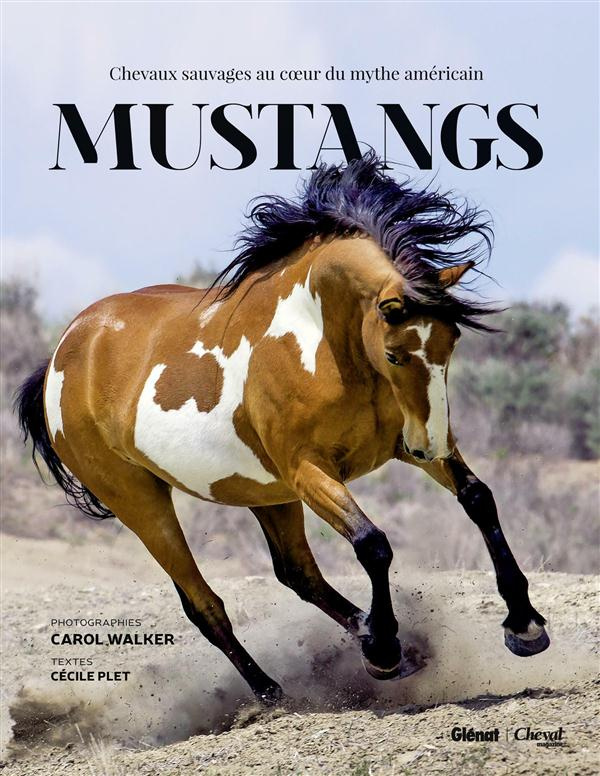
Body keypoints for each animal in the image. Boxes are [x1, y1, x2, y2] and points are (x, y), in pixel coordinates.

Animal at [16, 154, 549, 704]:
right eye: (395, 355)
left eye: (453, 341)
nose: (431, 445)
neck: (322, 343)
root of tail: (62, 354)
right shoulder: (308, 470)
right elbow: (372, 543)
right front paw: (383, 651)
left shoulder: (398, 447)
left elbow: (478, 499)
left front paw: (524, 625)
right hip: (139, 500)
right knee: (203, 604)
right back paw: (277, 693)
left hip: (262, 490)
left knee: (298, 573)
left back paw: (374, 640)